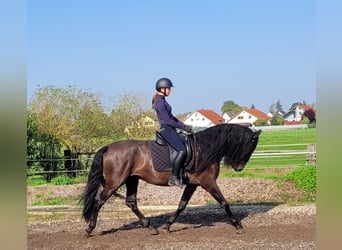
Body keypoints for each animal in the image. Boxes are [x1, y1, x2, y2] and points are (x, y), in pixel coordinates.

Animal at [81, 124, 262, 235]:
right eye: (249, 146)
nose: (239, 168)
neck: (204, 149)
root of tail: (108, 147)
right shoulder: (208, 183)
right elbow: (224, 203)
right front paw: (238, 225)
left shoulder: (193, 184)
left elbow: (182, 205)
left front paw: (168, 225)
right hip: (114, 182)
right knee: (98, 201)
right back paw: (90, 229)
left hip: (132, 179)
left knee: (131, 202)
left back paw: (151, 227)